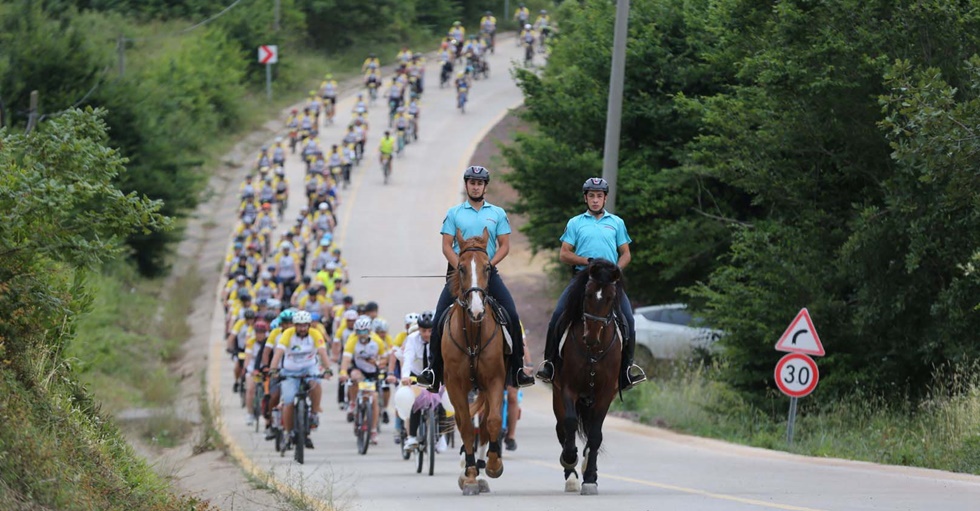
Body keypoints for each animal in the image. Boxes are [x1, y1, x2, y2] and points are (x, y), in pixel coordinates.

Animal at [442, 228, 510, 496]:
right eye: (460, 268)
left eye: (487, 267)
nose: (477, 309)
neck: (472, 333)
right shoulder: (455, 386)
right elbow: (466, 429)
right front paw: (470, 476)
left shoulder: (495, 380)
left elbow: (492, 422)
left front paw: (493, 465)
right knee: (468, 426)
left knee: (485, 423)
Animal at [552, 260, 620, 496]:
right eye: (588, 294)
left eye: (610, 297)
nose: (590, 337)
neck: (593, 350)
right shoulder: (567, 389)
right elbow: (570, 423)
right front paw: (570, 458)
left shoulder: (605, 394)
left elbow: (595, 435)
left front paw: (590, 478)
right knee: (562, 428)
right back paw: (571, 476)